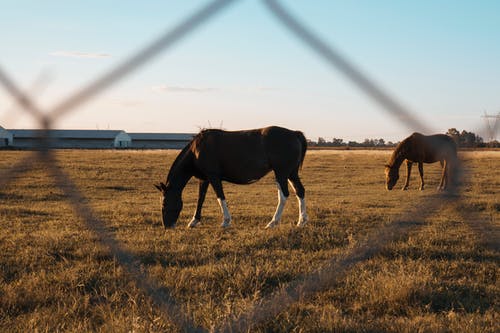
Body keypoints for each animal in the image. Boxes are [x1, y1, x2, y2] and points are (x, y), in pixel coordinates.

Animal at [154, 125, 306, 228]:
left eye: (164, 203)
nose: (167, 226)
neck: (196, 150)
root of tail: (294, 133)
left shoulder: (214, 177)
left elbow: (220, 197)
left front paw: (226, 221)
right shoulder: (204, 179)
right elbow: (200, 199)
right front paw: (194, 221)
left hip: (281, 174)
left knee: (284, 195)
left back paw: (273, 222)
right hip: (291, 174)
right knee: (300, 191)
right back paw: (302, 221)